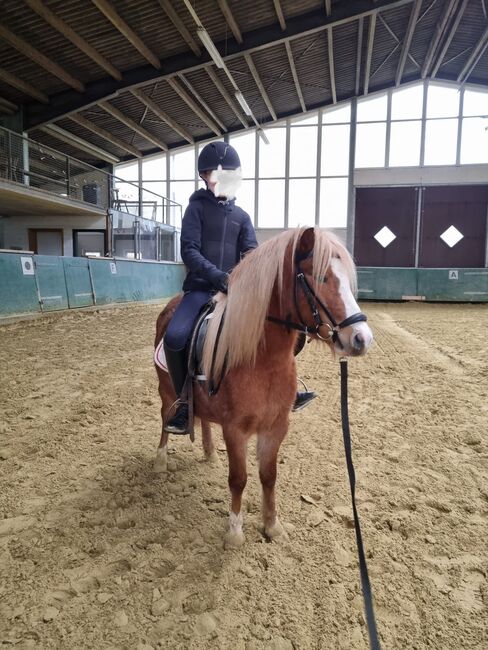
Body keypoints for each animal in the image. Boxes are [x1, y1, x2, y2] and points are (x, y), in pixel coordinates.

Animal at [154, 225, 372, 544]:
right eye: (320, 277)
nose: (361, 338)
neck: (261, 361)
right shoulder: (235, 430)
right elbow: (238, 479)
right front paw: (234, 533)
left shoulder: (276, 425)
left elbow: (268, 476)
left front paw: (272, 526)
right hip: (166, 391)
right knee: (165, 417)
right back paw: (161, 459)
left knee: (203, 418)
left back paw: (209, 454)